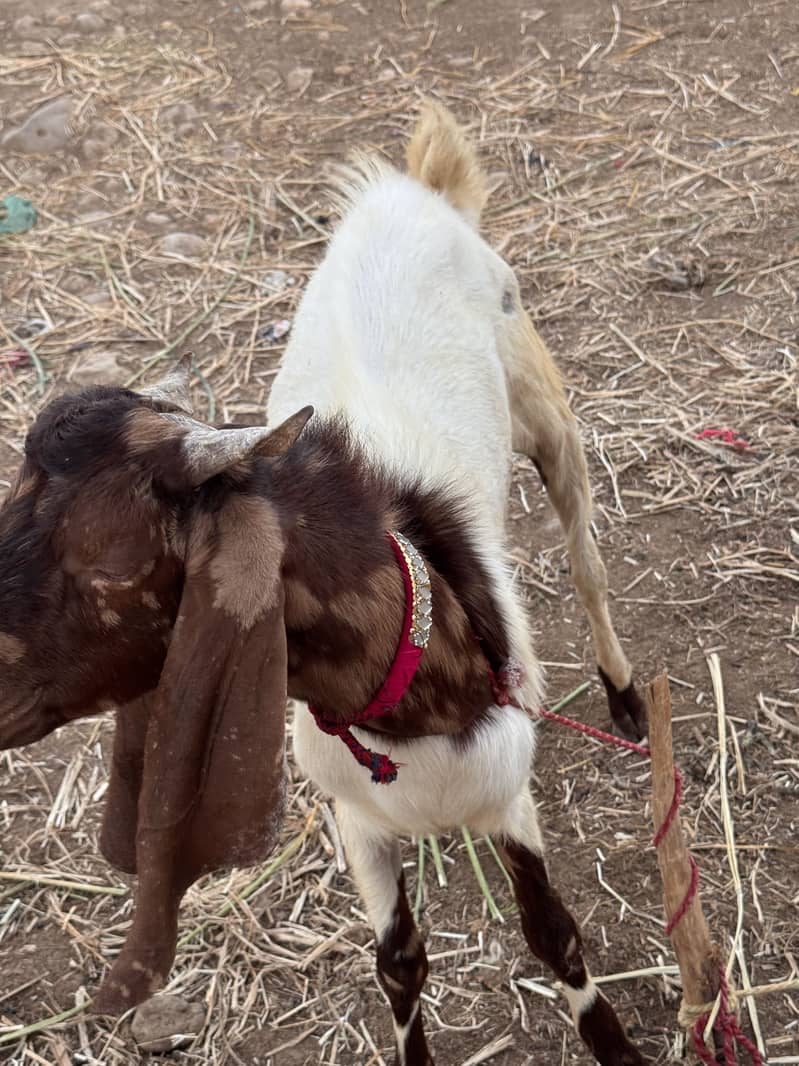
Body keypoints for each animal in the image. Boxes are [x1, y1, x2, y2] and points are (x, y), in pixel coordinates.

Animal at [0, 102, 647, 1065]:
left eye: (106, 560)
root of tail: (410, 189)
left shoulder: (507, 792)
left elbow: (552, 933)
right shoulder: (358, 820)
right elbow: (399, 962)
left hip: (545, 409)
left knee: (586, 558)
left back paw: (625, 698)